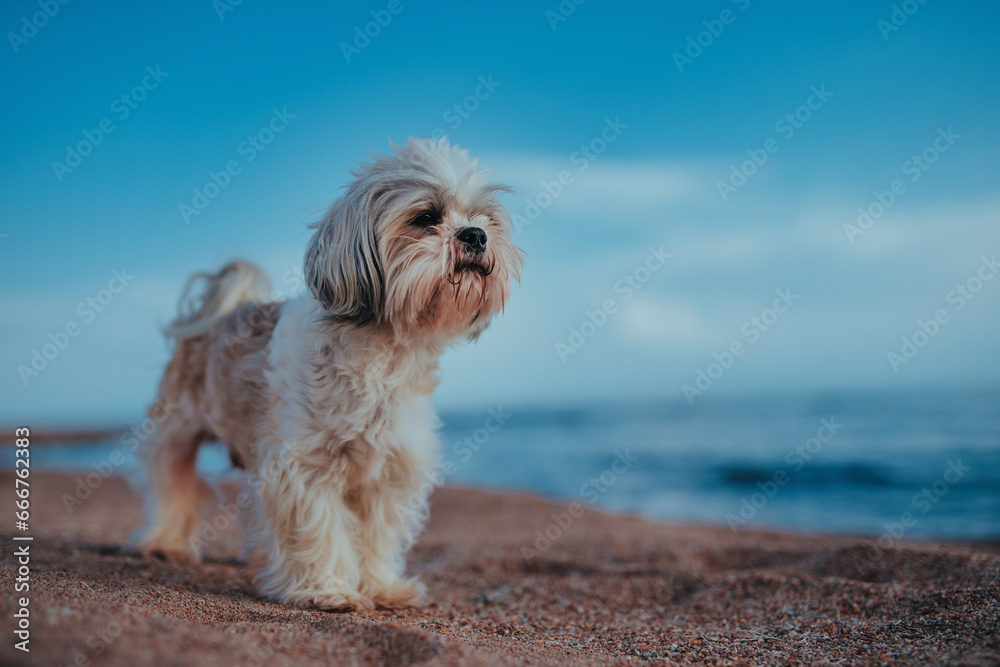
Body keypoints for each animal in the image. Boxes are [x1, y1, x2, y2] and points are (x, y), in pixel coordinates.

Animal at [140, 137, 524, 612]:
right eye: (426, 218)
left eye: (486, 220)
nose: (475, 235)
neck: (385, 355)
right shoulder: (303, 467)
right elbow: (319, 527)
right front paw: (328, 589)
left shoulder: (390, 470)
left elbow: (377, 535)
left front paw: (381, 587)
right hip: (176, 428)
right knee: (172, 481)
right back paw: (166, 542)